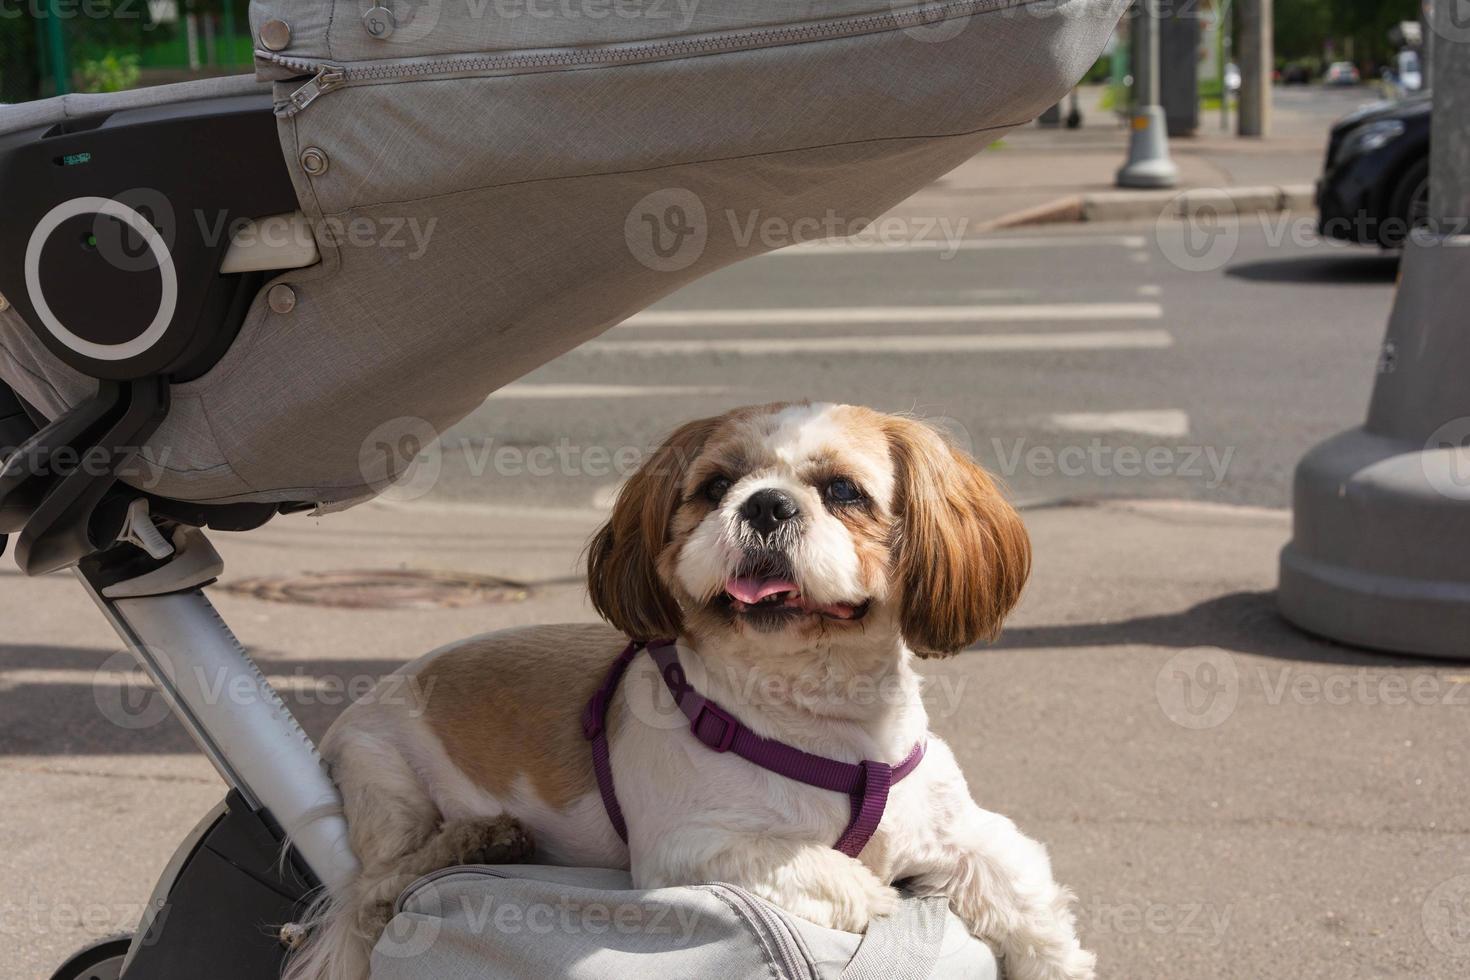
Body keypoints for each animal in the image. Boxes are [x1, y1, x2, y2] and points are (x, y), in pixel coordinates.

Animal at [286, 402, 1093, 975]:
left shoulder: (962, 831)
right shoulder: (693, 846)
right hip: (386, 782)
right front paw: (872, 891)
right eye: (713, 488)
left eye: (843, 491)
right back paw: (476, 840)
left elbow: (1025, 896)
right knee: (379, 888)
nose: (765, 504)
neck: (826, 718)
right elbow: (834, 873)